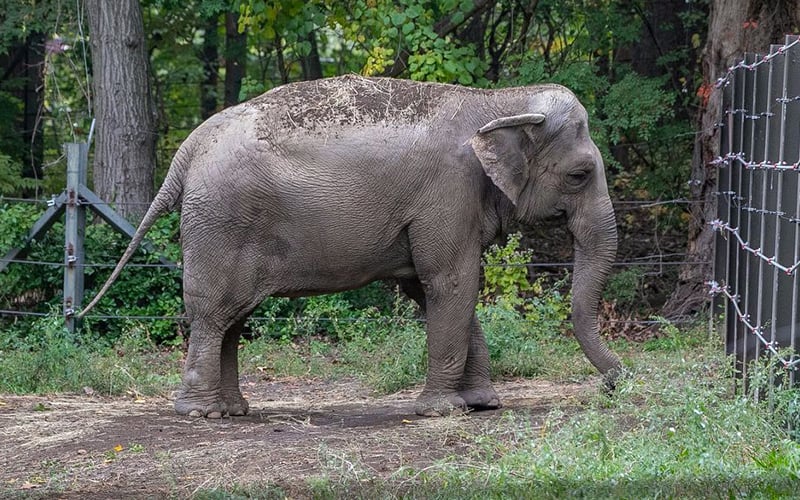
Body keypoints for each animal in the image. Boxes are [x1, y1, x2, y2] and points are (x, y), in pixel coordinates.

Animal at [81, 75, 620, 418]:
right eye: (579, 175)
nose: (616, 384)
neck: (497, 102)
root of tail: (189, 148)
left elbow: (434, 288)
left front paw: (483, 404)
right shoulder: (448, 193)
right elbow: (452, 281)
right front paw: (443, 411)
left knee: (233, 317)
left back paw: (233, 410)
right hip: (220, 223)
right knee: (214, 313)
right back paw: (200, 415)